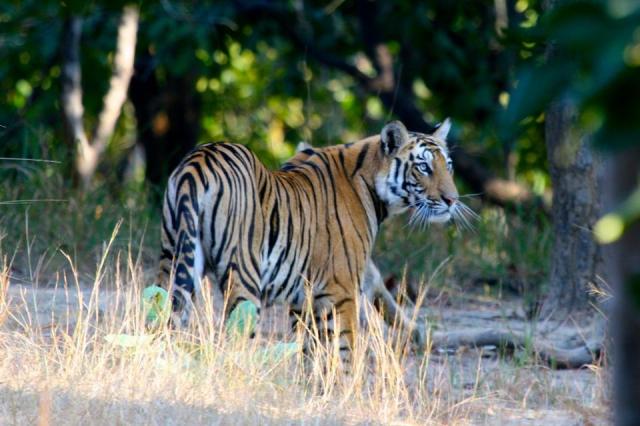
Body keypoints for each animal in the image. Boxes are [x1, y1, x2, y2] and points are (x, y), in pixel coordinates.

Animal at [155, 119, 471, 363]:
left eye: (448, 166)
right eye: (424, 168)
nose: (452, 200)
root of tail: (197, 162)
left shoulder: (304, 297)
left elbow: (310, 352)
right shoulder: (342, 289)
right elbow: (344, 351)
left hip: (172, 259)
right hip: (243, 274)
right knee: (235, 337)